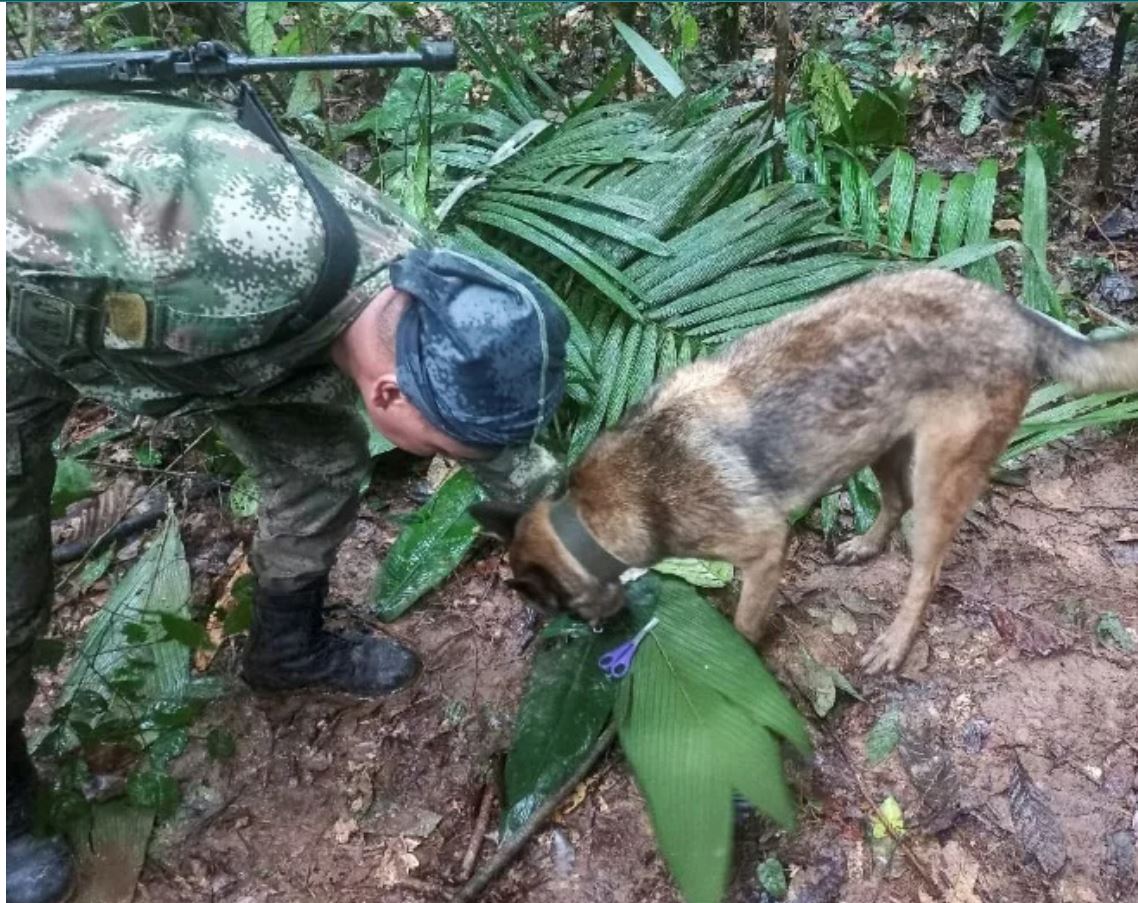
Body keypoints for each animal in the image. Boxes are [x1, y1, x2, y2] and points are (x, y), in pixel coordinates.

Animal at [471, 271, 1138, 674]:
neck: (594, 512)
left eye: (559, 609)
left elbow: (743, 623)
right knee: (892, 503)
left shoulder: (765, 550)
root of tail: (1012, 312)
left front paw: (737, 665)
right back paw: (865, 546)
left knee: (925, 569)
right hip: (878, 442)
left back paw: (895, 641)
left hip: (937, 478)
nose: (598, 635)